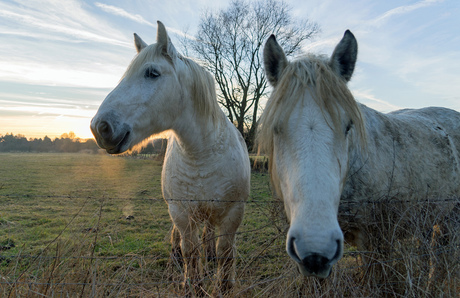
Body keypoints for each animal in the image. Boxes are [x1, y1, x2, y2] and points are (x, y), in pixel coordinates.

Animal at [89, 21, 248, 294]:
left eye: (152, 73)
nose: (100, 127)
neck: (201, 154)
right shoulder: (181, 213)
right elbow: (190, 253)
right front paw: (192, 286)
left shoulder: (232, 215)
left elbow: (226, 255)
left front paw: (223, 285)